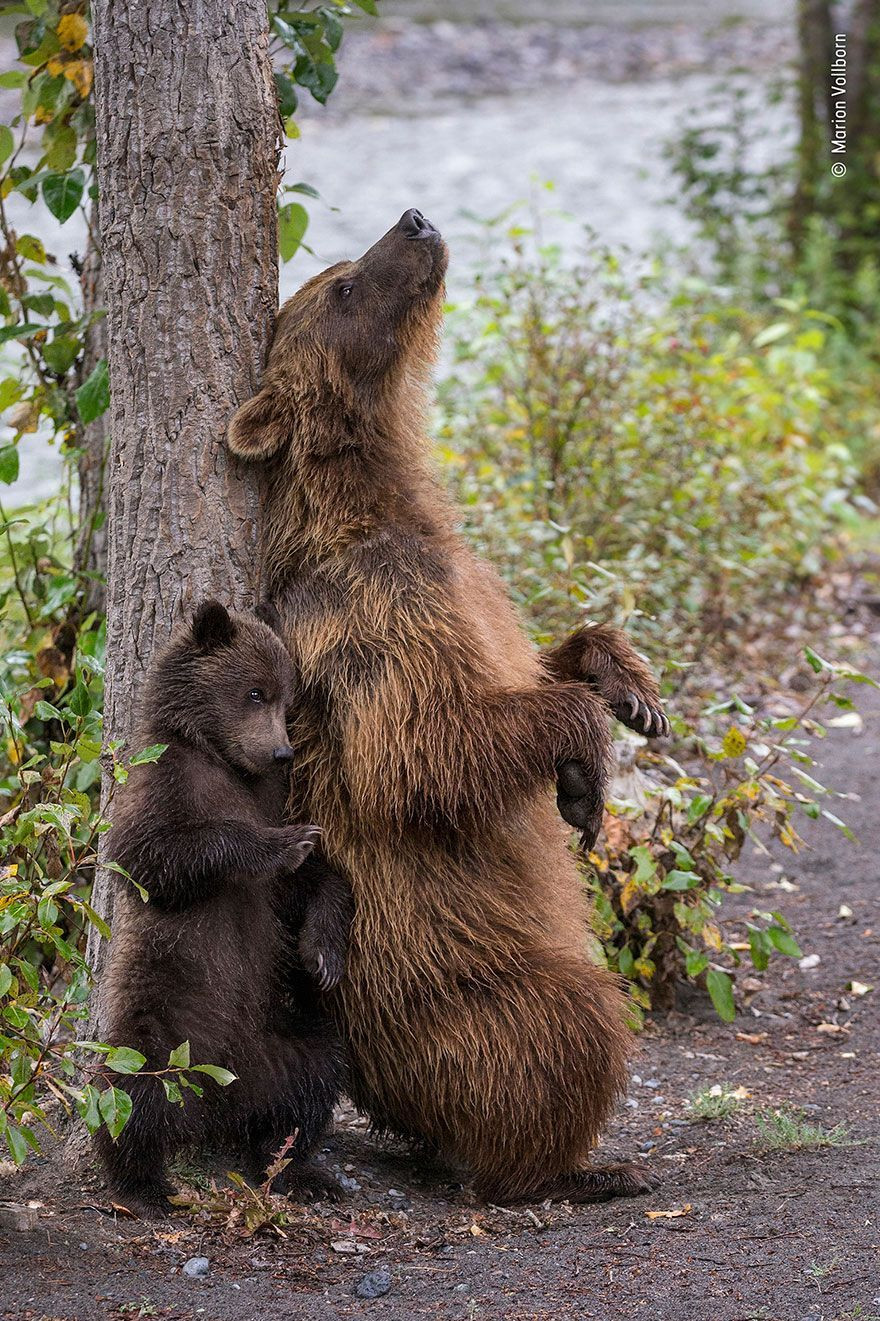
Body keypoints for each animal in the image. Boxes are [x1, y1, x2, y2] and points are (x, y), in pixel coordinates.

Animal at [225, 208, 665, 1210]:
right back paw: (575, 1166)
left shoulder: (471, 586)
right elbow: (426, 751)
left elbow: (536, 658)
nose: (414, 221)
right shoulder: (370, 618)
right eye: (345, 286)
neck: (383, 503)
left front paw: (630, 690)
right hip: (450, 984)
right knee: (572, 1018)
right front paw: (583, 775)